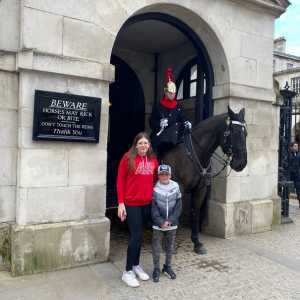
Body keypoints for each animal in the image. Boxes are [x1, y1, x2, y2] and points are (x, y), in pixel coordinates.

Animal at [161, 106, 247, 254]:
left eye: (245, 134)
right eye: (234, 133)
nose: (241, 163)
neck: (194, 153)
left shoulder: (200, 189)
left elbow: (195, 212)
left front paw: (197, 242)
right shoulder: (178, 189)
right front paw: (168, 245)